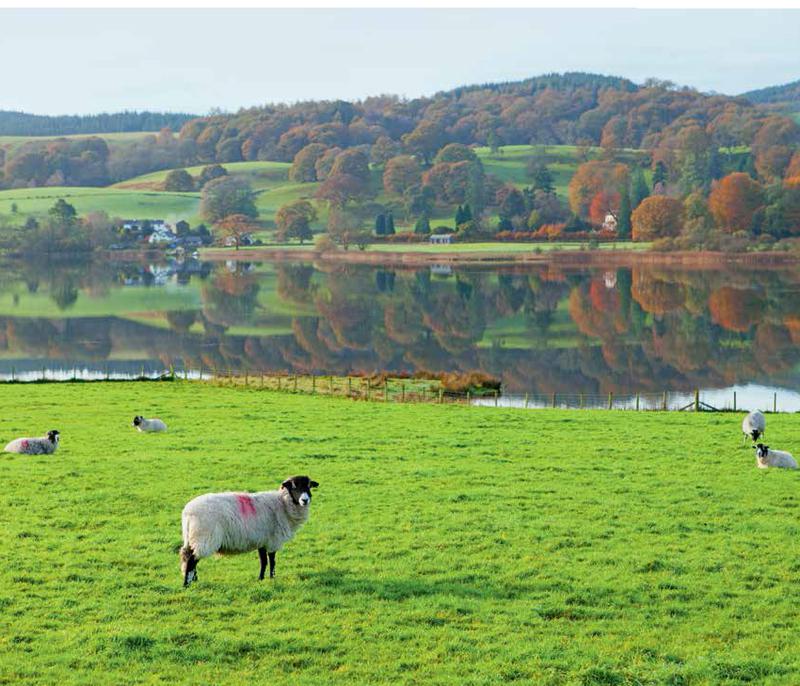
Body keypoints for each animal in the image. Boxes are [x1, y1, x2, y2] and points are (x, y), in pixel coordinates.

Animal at [181, 476, 318, 588]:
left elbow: (263, 561)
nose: (305, 500)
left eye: (309, 486)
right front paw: (272, 578)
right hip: (204, 538)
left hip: (192, 538)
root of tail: (187, 512)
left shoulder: (262, 539)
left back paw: (194, 580)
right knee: (191, 560)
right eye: (294, 486)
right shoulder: (273, 540)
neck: (282, 504)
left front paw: (261, 579)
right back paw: (186, 585)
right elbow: (272, 561)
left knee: (187, 556)